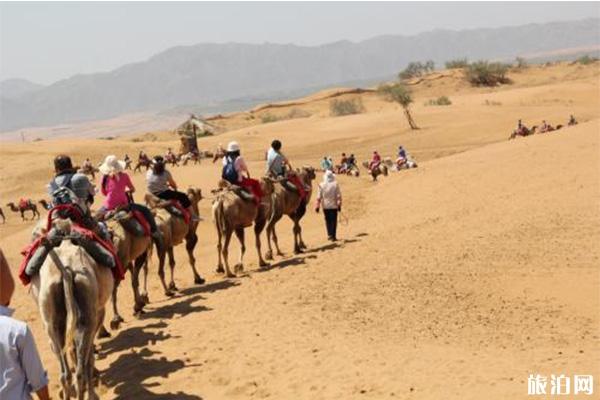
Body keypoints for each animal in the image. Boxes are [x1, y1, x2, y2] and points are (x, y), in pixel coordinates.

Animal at [30, 220, 113, 398]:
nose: (108, 232)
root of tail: (66, 272)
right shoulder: (99, 313)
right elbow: (89, 357)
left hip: (51, 320)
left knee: (65, 373)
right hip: (87, 311)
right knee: (80, 369)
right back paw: (89, 394)